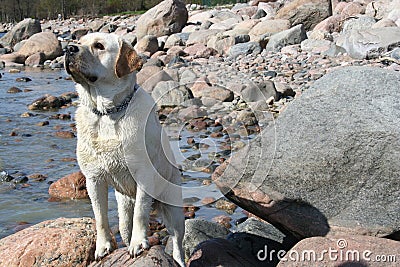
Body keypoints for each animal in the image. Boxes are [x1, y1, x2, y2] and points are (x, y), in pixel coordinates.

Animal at [65, 31, 185, 266]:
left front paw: (139, 244)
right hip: (123, 206)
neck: (107, 113)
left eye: (99, 46)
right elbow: (100, 217)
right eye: (79, 41)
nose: (69, 49)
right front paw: (103, 247)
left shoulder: (144, 175)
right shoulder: (93, 179)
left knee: (177, 243)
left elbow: (140, 213)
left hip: (174, 210)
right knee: (124, 226)